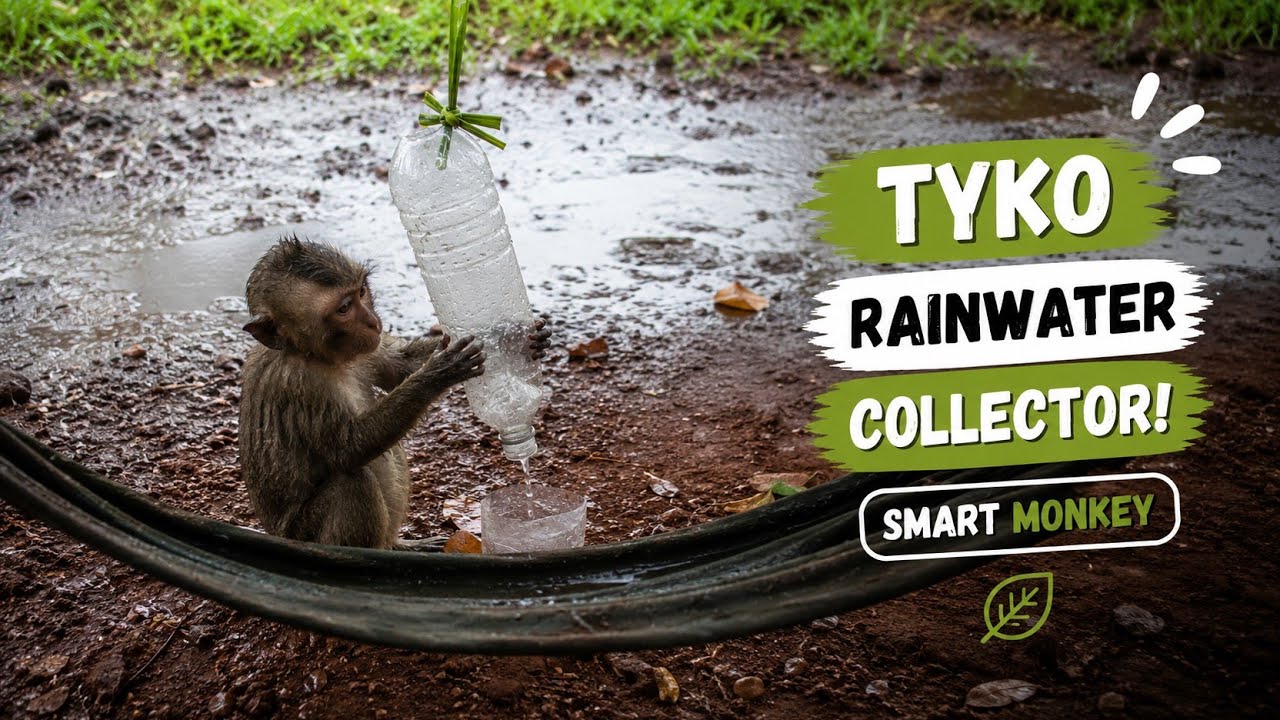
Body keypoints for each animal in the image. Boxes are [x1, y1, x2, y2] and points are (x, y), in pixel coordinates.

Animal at [238, 235, 550, 550]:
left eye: (361, 292)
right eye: (343, 308)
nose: (372, 322)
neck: (313, 355)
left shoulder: (366, 349)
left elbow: (398, 366)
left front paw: (508, 336)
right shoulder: (302, 384)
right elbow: (349, 449)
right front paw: (440, 372)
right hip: (304, 534)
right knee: (353, 481)